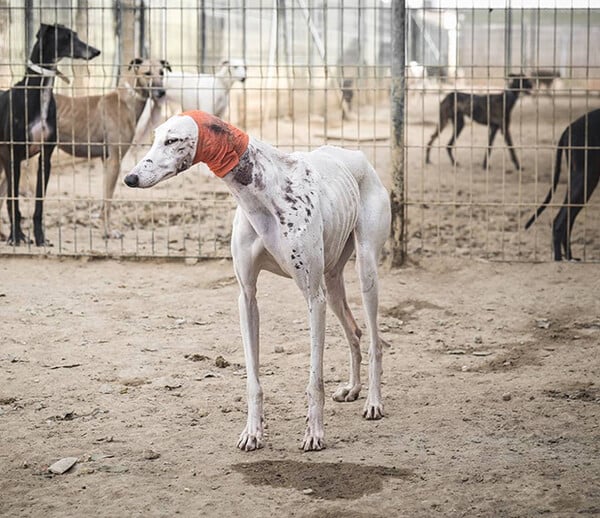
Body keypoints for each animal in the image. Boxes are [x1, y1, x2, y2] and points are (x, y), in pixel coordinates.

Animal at [0, 22, 99, 246]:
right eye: (67, 37)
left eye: (76, 35)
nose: (95, 51)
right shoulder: (14, 157)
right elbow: (13, 201)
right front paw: (16, 236)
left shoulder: (45, 158)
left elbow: (39, 205)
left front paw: (39, 238)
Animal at [124, 111, 392, 452]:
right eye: (156, 137)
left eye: (172, 140)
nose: (130, 178)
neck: (260, 193)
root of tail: (357, 155)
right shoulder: (247, 296)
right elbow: (253, 379)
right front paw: (252, 432)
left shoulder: (312, 297)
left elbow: (314, 380)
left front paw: (314, 433)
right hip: (331, 283)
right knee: (354, 332)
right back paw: (353, 388)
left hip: (365, 270)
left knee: (374, 342)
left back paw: (373, 401)